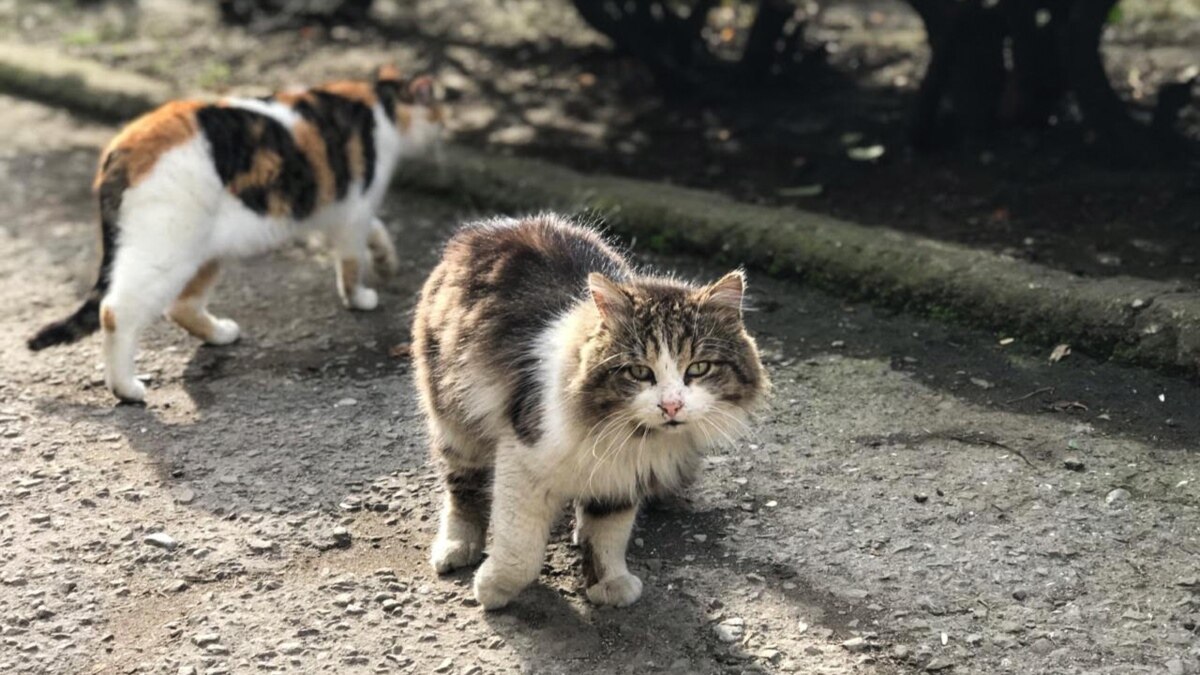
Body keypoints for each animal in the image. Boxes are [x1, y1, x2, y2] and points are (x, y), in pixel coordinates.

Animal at [28, 64, 446, 398]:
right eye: (438, 111)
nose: (444, 126)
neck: (381, 104)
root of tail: (123, 145)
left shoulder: (341, 211)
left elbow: (377, 231)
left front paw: (387, 261)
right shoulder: (355, 208)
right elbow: (351, 262)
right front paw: (359, 298)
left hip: (206, 249)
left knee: (181, 305)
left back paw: (219, 334)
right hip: (167, 250)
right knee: (116, 310)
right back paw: (126, 388)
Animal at [412, 212, 768, 607]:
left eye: (699, 368)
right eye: (639, 372)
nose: (671, 405)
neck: (620, 433)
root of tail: (490, 226)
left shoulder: (623, 479)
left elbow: (607, 535)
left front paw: (608, 583)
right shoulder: (522, 456)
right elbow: (520, 546)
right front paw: (494, 588)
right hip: (456, 421)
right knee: (463, 491)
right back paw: (456, 547)